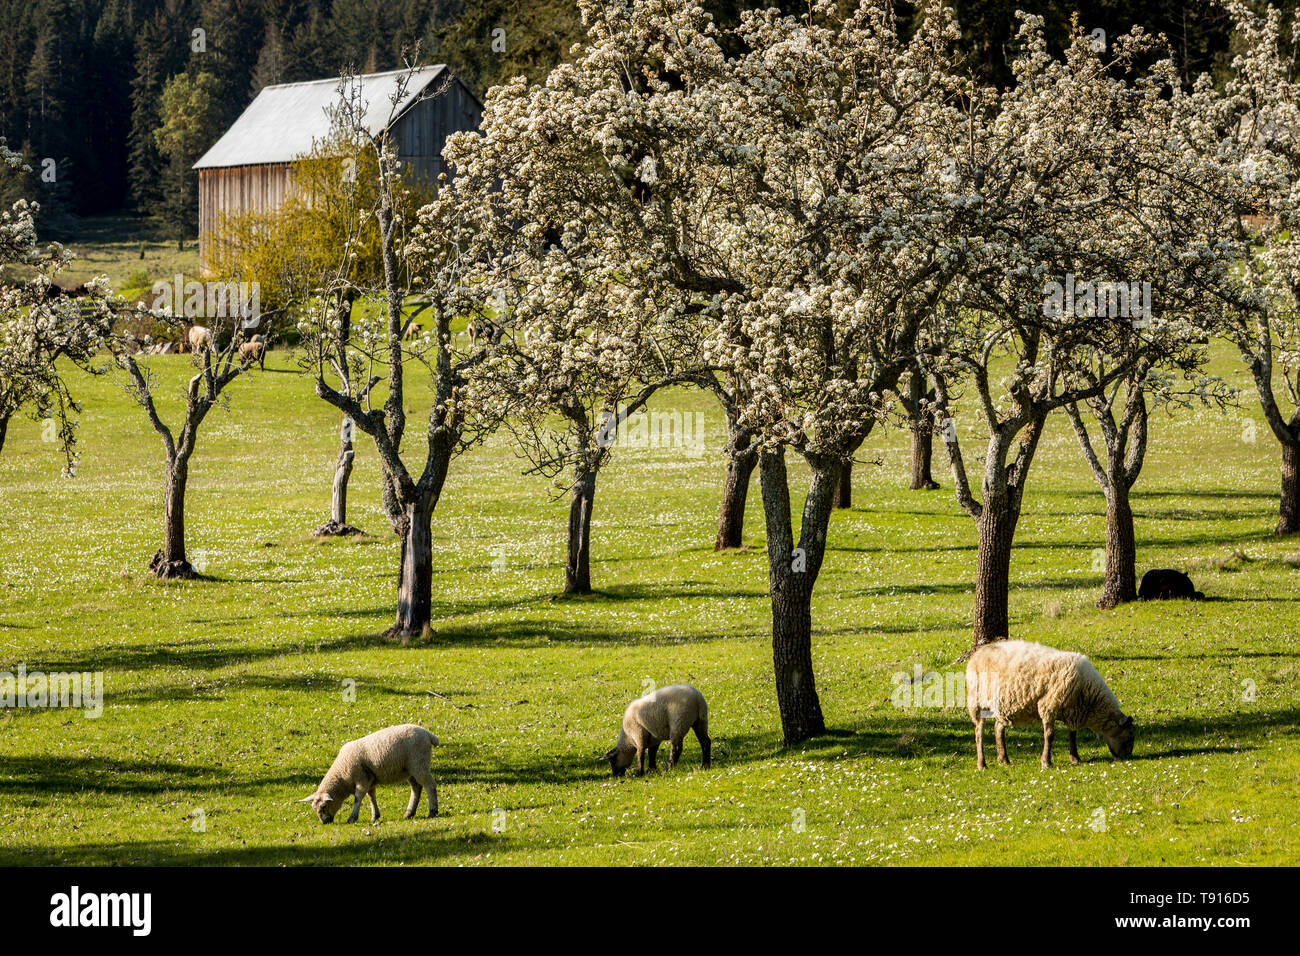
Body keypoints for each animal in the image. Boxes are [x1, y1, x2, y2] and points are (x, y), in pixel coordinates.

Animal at [300, 723, 439, 822]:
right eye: (314, 808)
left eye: (324, 806)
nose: (324, 822)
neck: (342, 775)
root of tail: (428, 734)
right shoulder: (370, 780)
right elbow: (371, 797)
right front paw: (375, 816)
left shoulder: (361, 779)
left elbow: (358, 798)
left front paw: (352, 818)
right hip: (410, 769)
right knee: (416, 788)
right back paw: (409, 813)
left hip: (419, 763)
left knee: (430, 786)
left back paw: (432, 811)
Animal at [961, 639, 1133, 775]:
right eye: (1128, 736)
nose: (1127, 757)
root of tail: (978, 652)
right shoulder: (1048, 706)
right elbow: (1049, 736)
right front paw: (1046, 762)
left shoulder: (1072, 711)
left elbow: (1073, 734)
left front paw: (1075, 758)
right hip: (976, 702)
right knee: (979, 733)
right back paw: (982, 764)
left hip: (1004, 706)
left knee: (998, 727)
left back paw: (1004, 759)